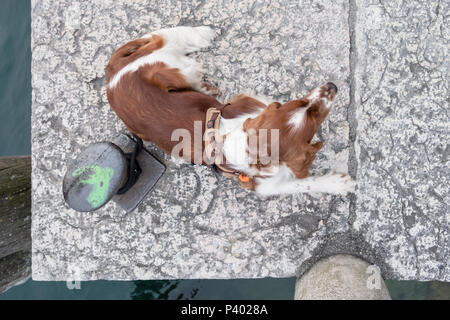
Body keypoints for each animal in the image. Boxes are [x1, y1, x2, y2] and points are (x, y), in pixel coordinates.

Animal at [105, 25, 356, 195]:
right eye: (313, 115)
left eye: (299, 102)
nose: (331, 86)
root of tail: (114, 73)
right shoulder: (264, 186)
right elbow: (302, 184)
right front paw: (340, 183)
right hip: (172, 67)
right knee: (164, 41)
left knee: (162, 37)